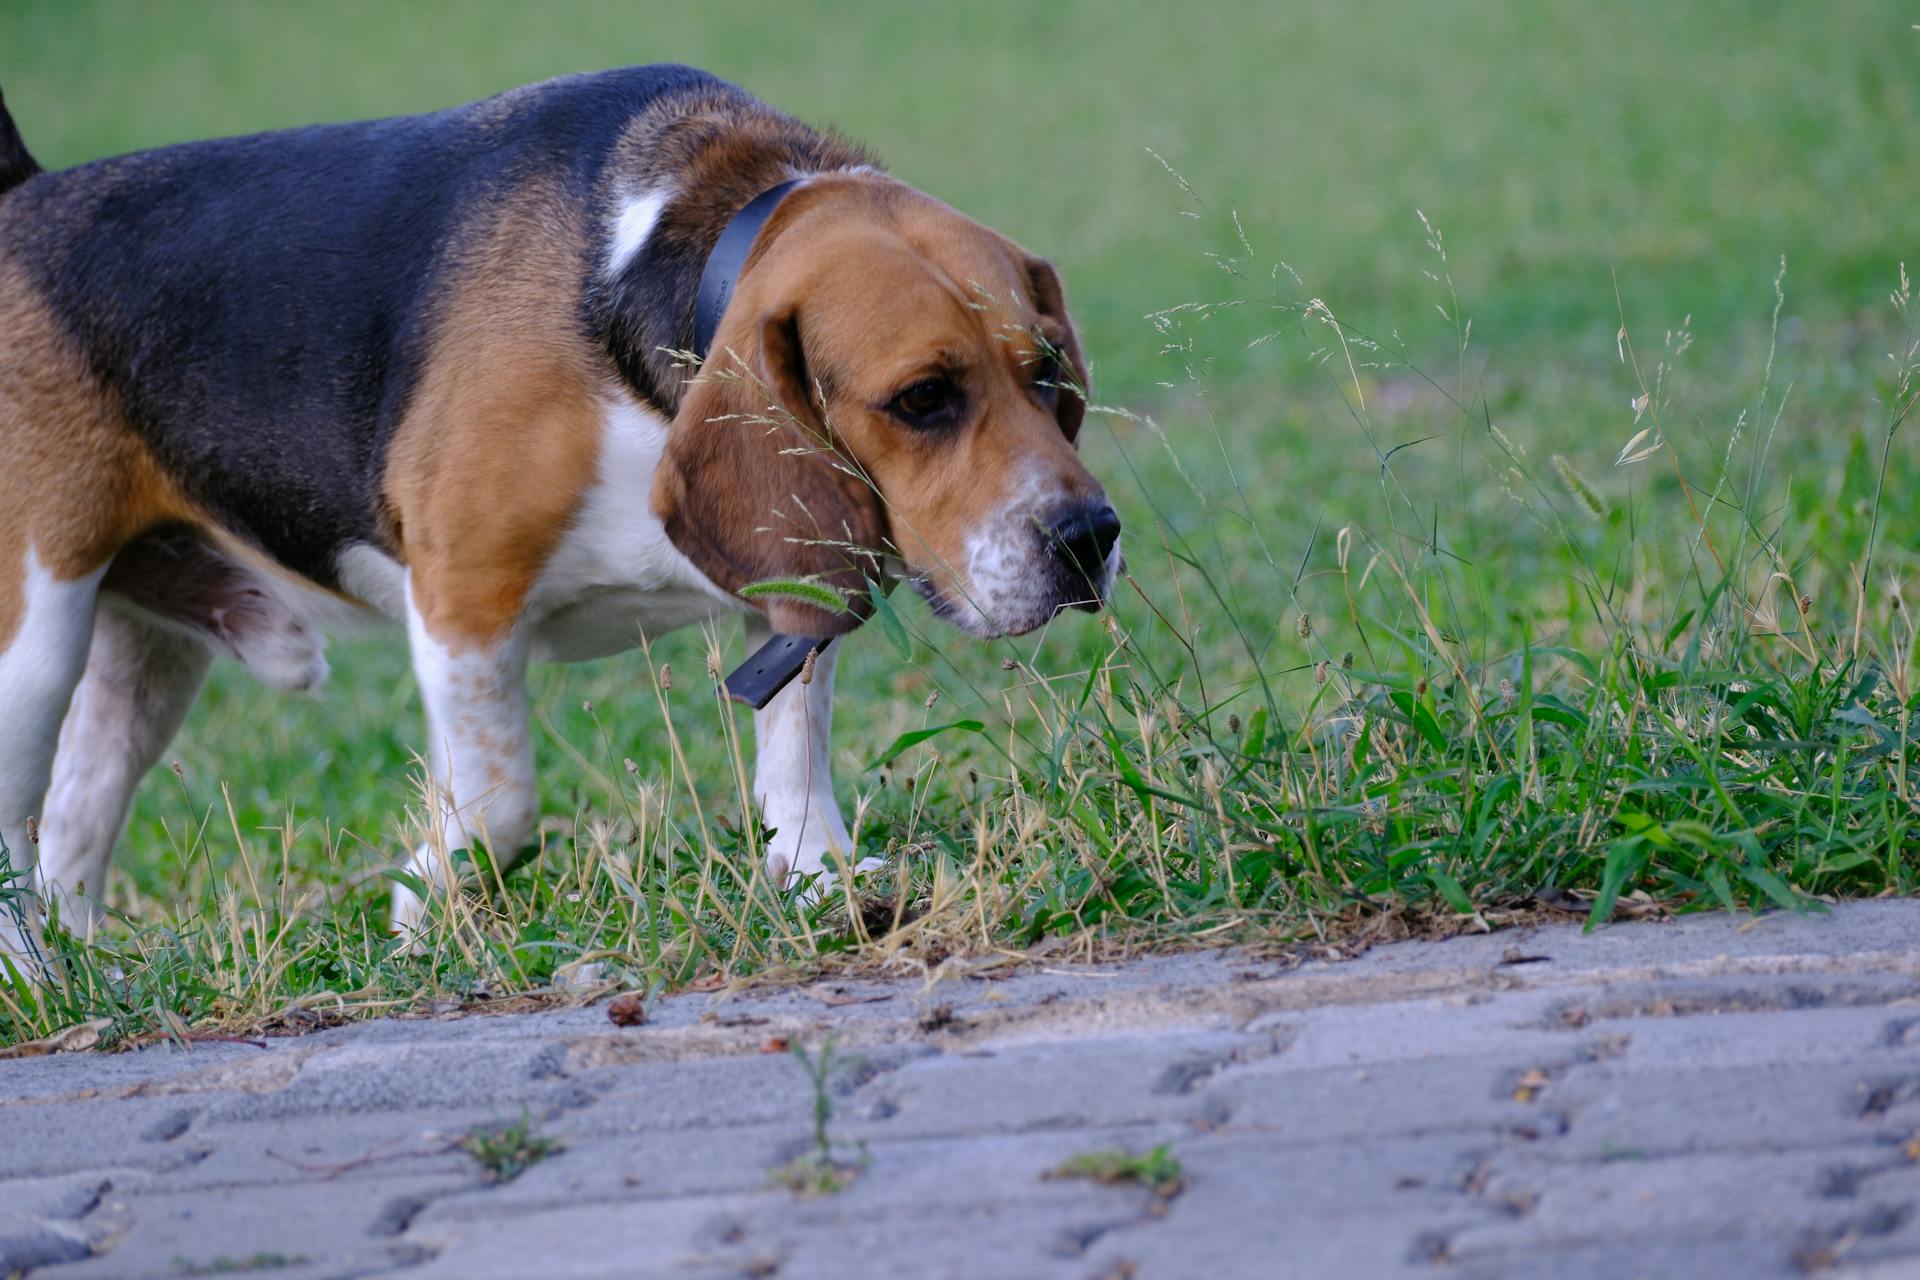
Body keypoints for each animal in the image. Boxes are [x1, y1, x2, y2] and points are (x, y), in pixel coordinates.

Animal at [0, 67, 1121, 951]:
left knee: (71, 820)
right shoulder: (464, 594)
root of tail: (24, 199)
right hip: (33, 640)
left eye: (1051, 377)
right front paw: (425, 913)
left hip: (145, 659)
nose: (1089, 539)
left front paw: (820, 877)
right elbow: (500, 806)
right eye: (922, 399)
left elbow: (795, 746)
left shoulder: (791, 583)